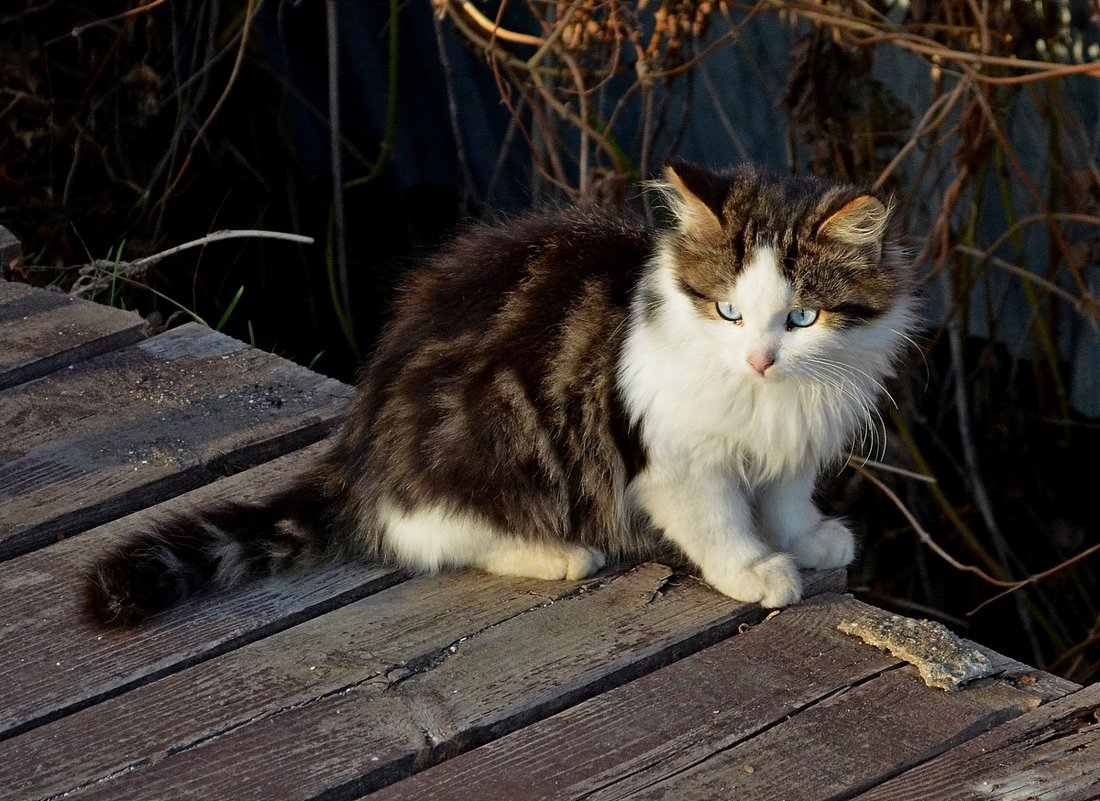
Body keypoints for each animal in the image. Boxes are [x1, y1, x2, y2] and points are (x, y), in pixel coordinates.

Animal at [81, 160, 915, 624]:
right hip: (494, 456)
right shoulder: (675, 460)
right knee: (431, 536)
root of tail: (359, 454)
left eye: (802, 317)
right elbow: (719, 523)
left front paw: (808, 538)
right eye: (728, 310)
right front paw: (756, 570)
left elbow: (783, 498)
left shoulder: (791, 446)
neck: (767, 400)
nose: (760, 359)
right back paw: (559, 554)